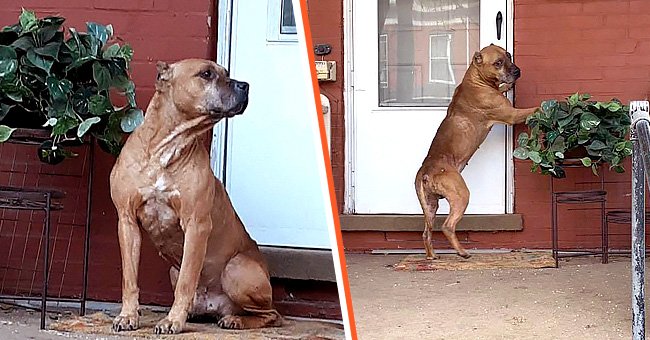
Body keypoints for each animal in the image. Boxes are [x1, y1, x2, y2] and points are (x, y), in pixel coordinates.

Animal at [109, 59, 280, 334]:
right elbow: (129, 277)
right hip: (173, 269)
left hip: (236, 269)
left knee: (272, 314)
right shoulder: (127, 221)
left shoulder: (196, 224)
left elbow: (187, 281)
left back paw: (235, 319)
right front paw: (128, 316)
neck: (165, 149)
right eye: (206, 74)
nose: (245, 85)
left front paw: (173, 320)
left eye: (226, 73)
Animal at [416, 43, 536, 258]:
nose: (517, 71)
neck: (476, 79)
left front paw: (507, 86)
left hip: (430, 206)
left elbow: (503, 88)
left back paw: (432, 256)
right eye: (498, 63)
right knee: (447, 226)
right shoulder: (512, 115)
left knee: (426, 233)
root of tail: (426, 172)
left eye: (509, 55)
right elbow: (534, 109)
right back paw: (462, 252)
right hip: (460, 196)